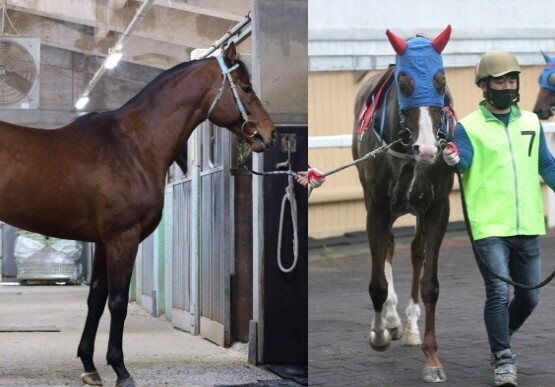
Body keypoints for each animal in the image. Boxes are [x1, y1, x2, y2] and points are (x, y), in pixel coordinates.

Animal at [0, 41, 276, 386]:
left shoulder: (103, 242)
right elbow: (117, 302)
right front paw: (120, 369)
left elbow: (96, 298)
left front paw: (89, 366)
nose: (269, 133)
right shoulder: (123, 238)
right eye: (246, 87)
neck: (132, 145)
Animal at [354, 25, 454, 384]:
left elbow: (430, 283)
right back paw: (392, 323)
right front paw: (379, 334)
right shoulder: (378, 209)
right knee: (387, 246)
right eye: (404, 81)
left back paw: (409, 326)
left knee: (414, 251)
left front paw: (432, 359)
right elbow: (377, 284)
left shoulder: (438, 209)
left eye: (441, 81)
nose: (428, 147)